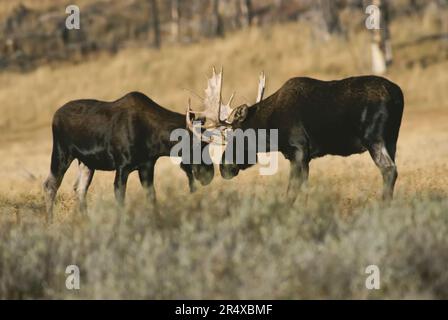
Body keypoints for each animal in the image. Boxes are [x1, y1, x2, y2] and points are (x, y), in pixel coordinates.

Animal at [187, 69, 404, 202]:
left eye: (237, 136)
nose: (224, 167)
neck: (271, 130)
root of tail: (397, 96)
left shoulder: (298, 150)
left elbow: (292, 190)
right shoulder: (305, 157)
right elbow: (303, 188)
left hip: (374, 139)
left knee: (389, 170)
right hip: (392, 140)